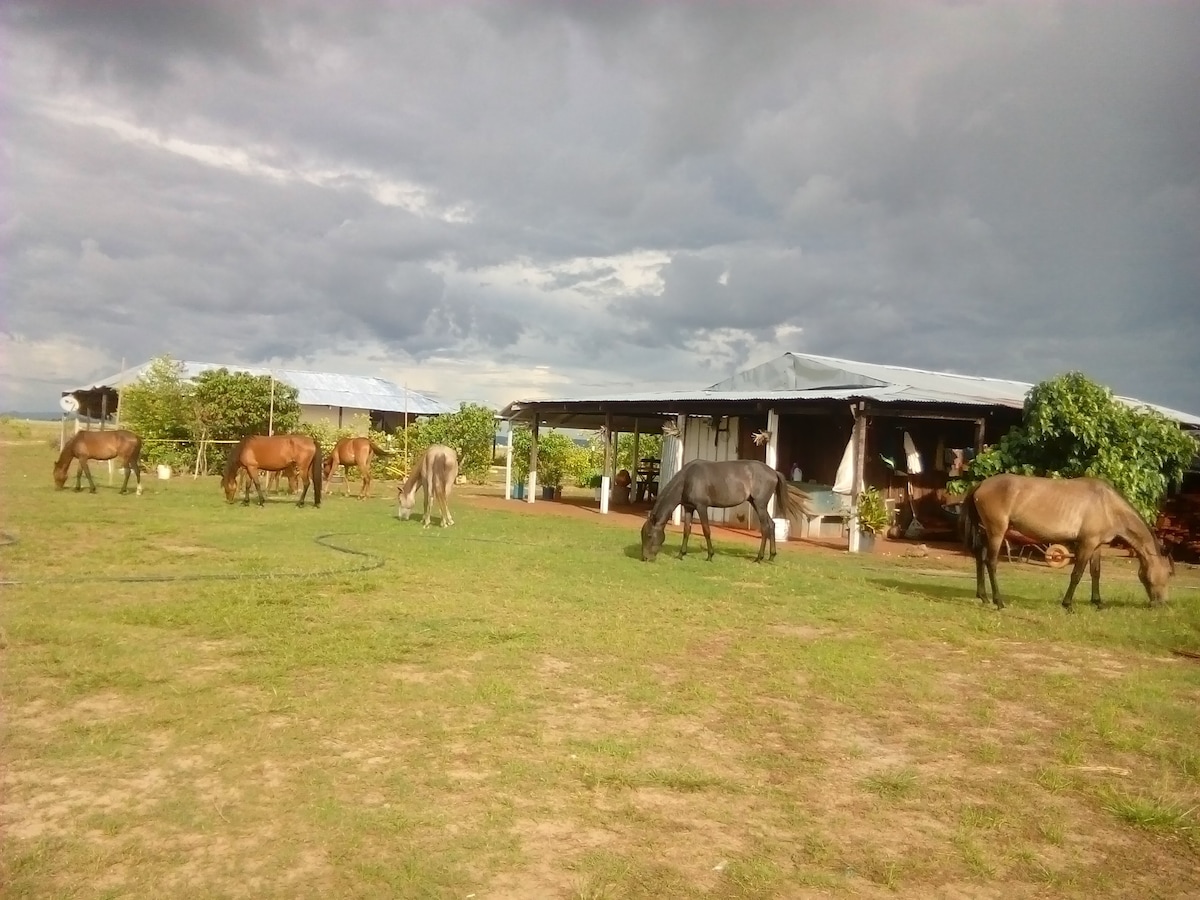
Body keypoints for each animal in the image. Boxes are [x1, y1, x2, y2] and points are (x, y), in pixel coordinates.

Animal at [643, 458, 792, 564]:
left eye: (649, 535)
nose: (645, 558)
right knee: (771, 525)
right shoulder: (689, 507)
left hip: (760, 505)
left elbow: (706, 530)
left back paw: (759, 558)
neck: (687, 479)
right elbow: (686, 531)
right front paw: (681, 554)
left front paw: (710, 556)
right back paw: (771, 556)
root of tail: (774, 472)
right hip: (757, 504)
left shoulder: (701, 507)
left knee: (765, 527)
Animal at [960, 472, 1176, 614]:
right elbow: (1077, 574)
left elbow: (1096, 573)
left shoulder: (1097, 545)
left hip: (986, 531)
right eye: (1168, 574)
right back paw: (999, 601)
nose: (1161, 604)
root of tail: (980, 485)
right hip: (997, 532)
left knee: (980, 557)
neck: (1107, 504)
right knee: (991, 562)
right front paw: (1068, 604)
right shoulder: (1087, 544)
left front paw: (1098, 602)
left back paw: (983, 596)